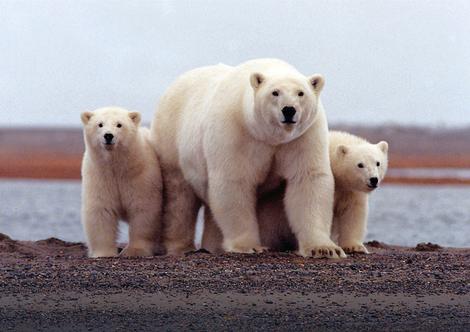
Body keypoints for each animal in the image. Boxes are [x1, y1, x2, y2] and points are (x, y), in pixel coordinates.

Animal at [81, 107, 162, 258]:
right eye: (100, 124)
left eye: (119, 124)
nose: (108, 136)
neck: (117, 167)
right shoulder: (99, 176)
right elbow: (101, 210)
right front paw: (104, 253)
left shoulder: (140, 176)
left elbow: (143, 209)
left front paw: (135, 251)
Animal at [151, 58, 346, 258]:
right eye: (275, 92)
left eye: (301, 93)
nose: (289, 110)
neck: (269, 136)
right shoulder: (236, 131)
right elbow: (234, 181)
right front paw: (249, 246)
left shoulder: (303, 137)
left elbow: (307, 179)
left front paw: (324, 248)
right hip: (171, 140)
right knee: (179, 197)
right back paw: (180, 247)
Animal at [202, 130, 390, 254]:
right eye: (360, 164)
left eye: (378, 163)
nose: (373, 179)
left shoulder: (349, 190)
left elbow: (352, 212)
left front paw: (355, 246)